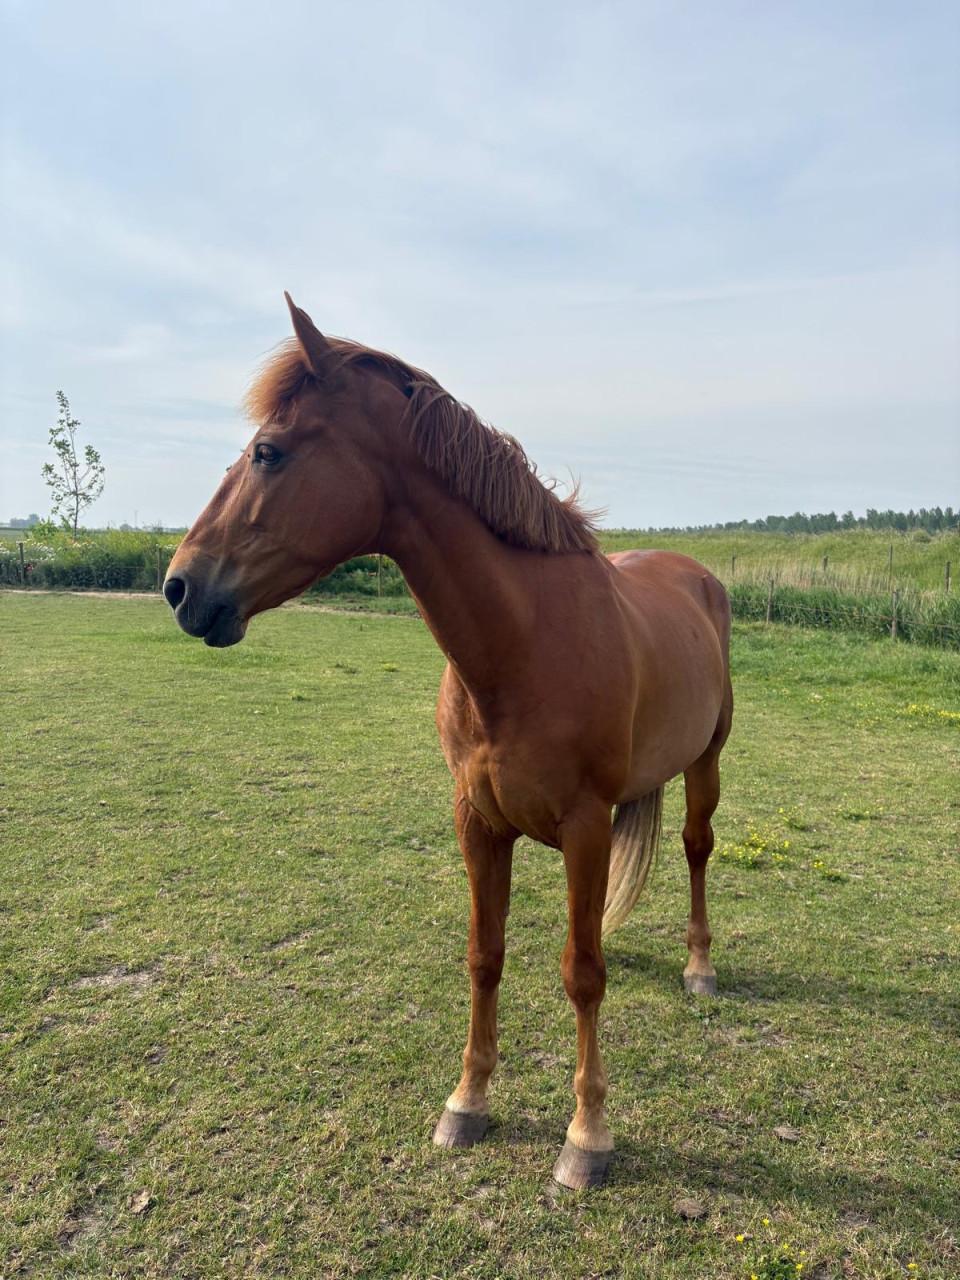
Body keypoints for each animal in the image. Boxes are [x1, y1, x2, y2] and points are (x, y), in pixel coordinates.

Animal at [164, 294, 733, 1189]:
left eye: (267, 452)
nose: (181, 588)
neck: (523, 640)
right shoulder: (478, 822)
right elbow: (484, 956)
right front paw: (467, 1102)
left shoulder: (581, 825)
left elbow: (581, 977)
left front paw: (586, 1137)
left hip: (707, 763)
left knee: (696, 847)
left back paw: (700, 968)